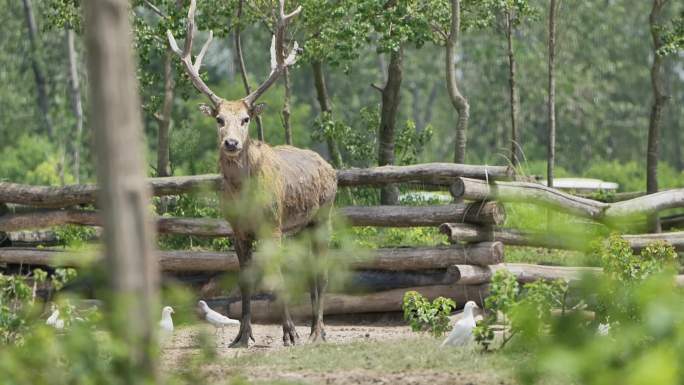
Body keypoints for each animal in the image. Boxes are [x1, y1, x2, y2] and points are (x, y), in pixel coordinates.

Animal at [166, 0, 336, 348]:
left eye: (245, 119)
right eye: (219, 119)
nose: (231, 143)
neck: (245, 196)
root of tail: (330, 167)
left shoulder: (273, 224)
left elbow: (278, 276)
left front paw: (289, 333)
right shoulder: (237, 229)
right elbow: (245, 280)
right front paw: (243, 336)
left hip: (324, 214)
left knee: (323, 272)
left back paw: (316, 332)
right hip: (302, 226)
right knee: (310, 272)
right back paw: (319, 329)